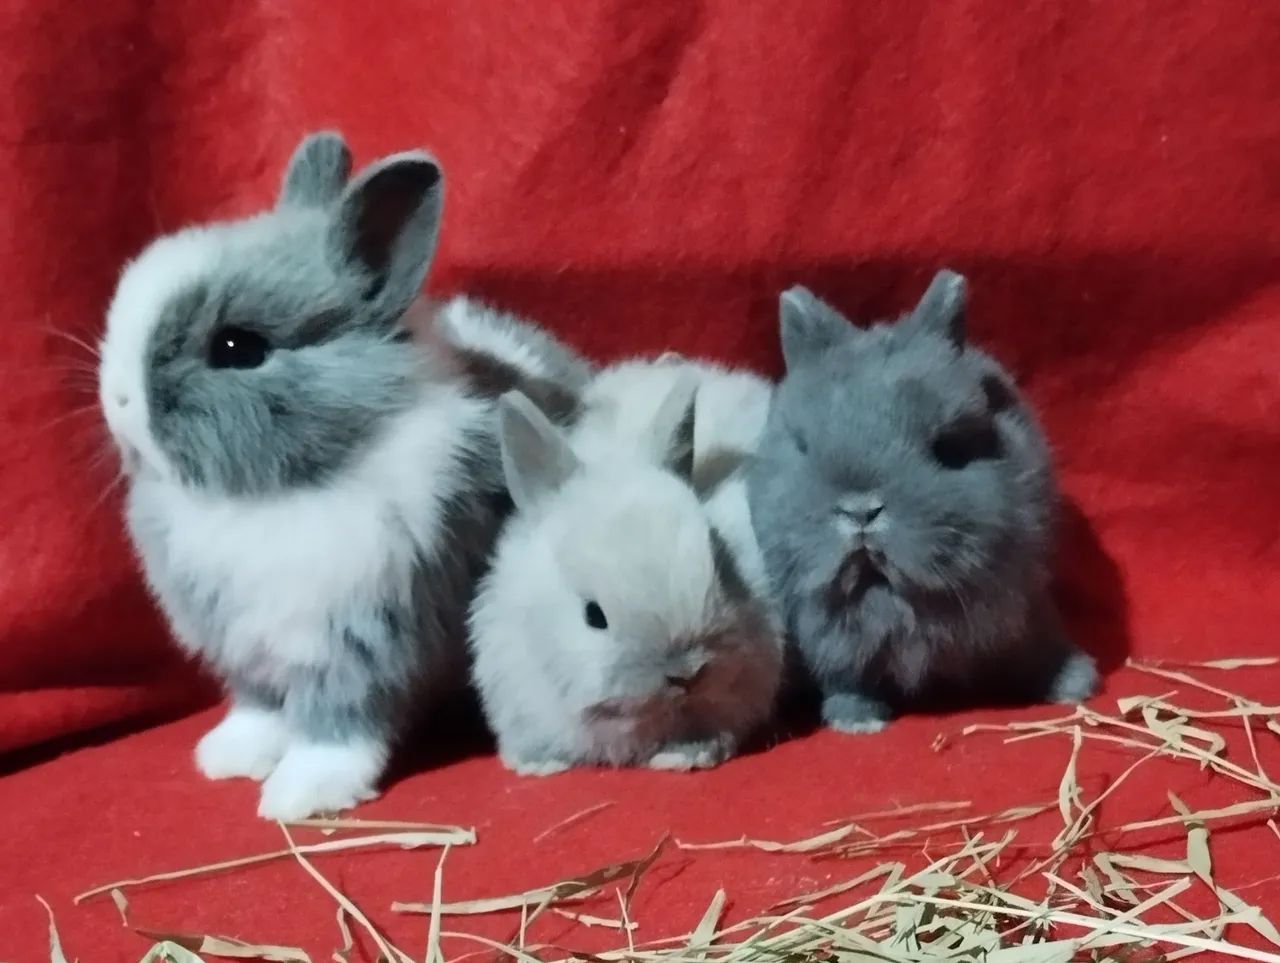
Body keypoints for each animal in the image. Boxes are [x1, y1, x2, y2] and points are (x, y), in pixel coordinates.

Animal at [97, 131, 590, 819]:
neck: (273, 496)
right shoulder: (244, 647)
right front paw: (229, 758)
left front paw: (299, 794)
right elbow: (257, 708)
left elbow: (340, 724)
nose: (117, 402)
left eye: (237, 348)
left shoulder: (362, 642)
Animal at [745, 269, 1098, 734]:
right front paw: (857, 721)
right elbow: (848, 679)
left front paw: (1076, 684)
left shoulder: (1024, 604)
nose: (861, 511)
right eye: (803, 446)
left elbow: (1041, 650)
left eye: (947, 447)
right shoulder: (834, 645)